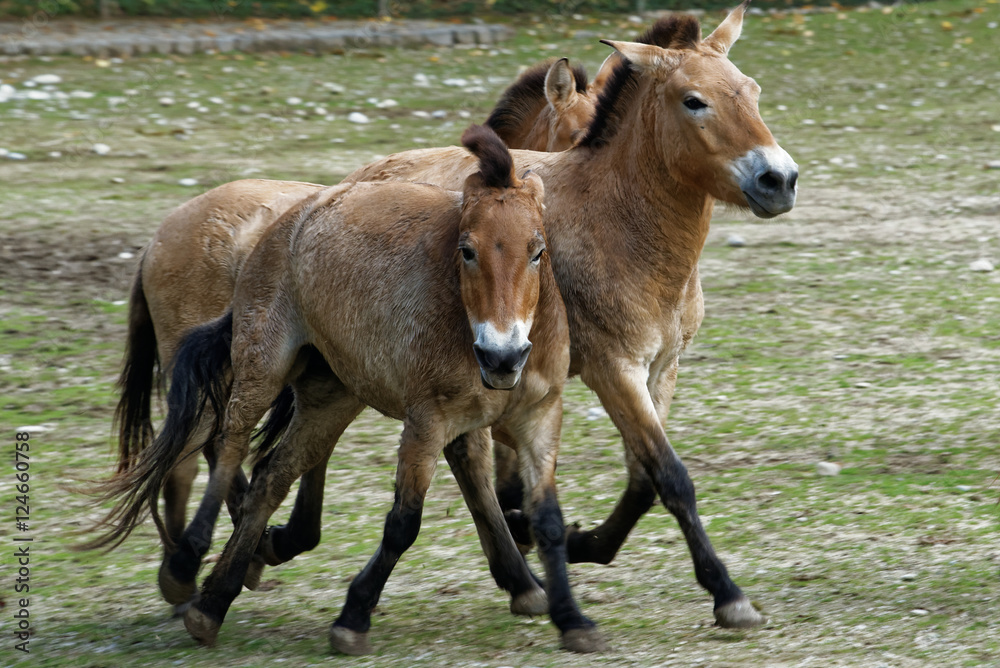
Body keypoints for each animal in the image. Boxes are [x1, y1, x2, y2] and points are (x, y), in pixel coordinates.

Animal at [337, 2, 798, 628]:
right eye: (694, 100)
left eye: (752, 91)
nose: (779, 179)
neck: (616, 222)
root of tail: (351, 182)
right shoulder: (613, 369)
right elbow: (671, 476)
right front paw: (726, 592)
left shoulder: (661, 369)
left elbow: (643, 477)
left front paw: (582, 543)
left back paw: (520, 574)